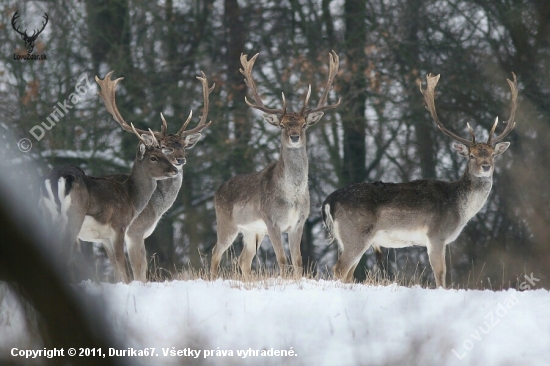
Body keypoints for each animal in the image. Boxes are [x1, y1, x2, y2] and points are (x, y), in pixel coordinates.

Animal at [41, 123, 179, 284]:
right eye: (153, 158)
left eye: (164, 154)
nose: (175, 169)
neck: (131, 198)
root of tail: (56, 178)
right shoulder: (119, 225)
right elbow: (121, 260)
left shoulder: (105, 237)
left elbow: (114, 263)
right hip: (73, 215)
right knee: (66, 252)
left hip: (46, 213)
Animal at [96, 72, 215, 284]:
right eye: (164, 148)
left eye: (183, 146)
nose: (180, 160)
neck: (155, 207)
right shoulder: (135, 232)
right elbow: (139, 270)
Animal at [213, 50, 342, 278]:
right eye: (282, 125)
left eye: (304, 124)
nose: (294, 136)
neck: (292, 196)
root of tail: (217, 191)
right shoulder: (271, 220)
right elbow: (282, 260)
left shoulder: (298, 223)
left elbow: (298, 261)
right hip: (227, 223)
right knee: (215, 254)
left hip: (252, 231)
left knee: (243, 260)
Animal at [322, 73, 520, 288]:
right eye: (471, 155)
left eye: (492, 154)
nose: (486, 166)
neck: (460, 209)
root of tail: (329, 201)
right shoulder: (436, 235)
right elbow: (440, 273)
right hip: (356, 233)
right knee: (339, 269)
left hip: (347, 239)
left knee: (347, 272)